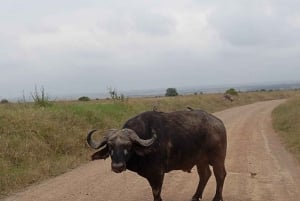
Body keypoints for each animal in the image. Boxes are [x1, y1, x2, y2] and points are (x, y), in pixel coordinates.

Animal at [86, 108, 227, 201]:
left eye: (128, 146)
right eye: (110, 146)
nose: (117, 166)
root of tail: (219, 123)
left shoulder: (157, 174)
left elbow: (156, 193)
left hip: (218, 159)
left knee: (220, 175)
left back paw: (216, 198)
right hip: (200, 160)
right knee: (205, 175)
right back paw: (195, 196)